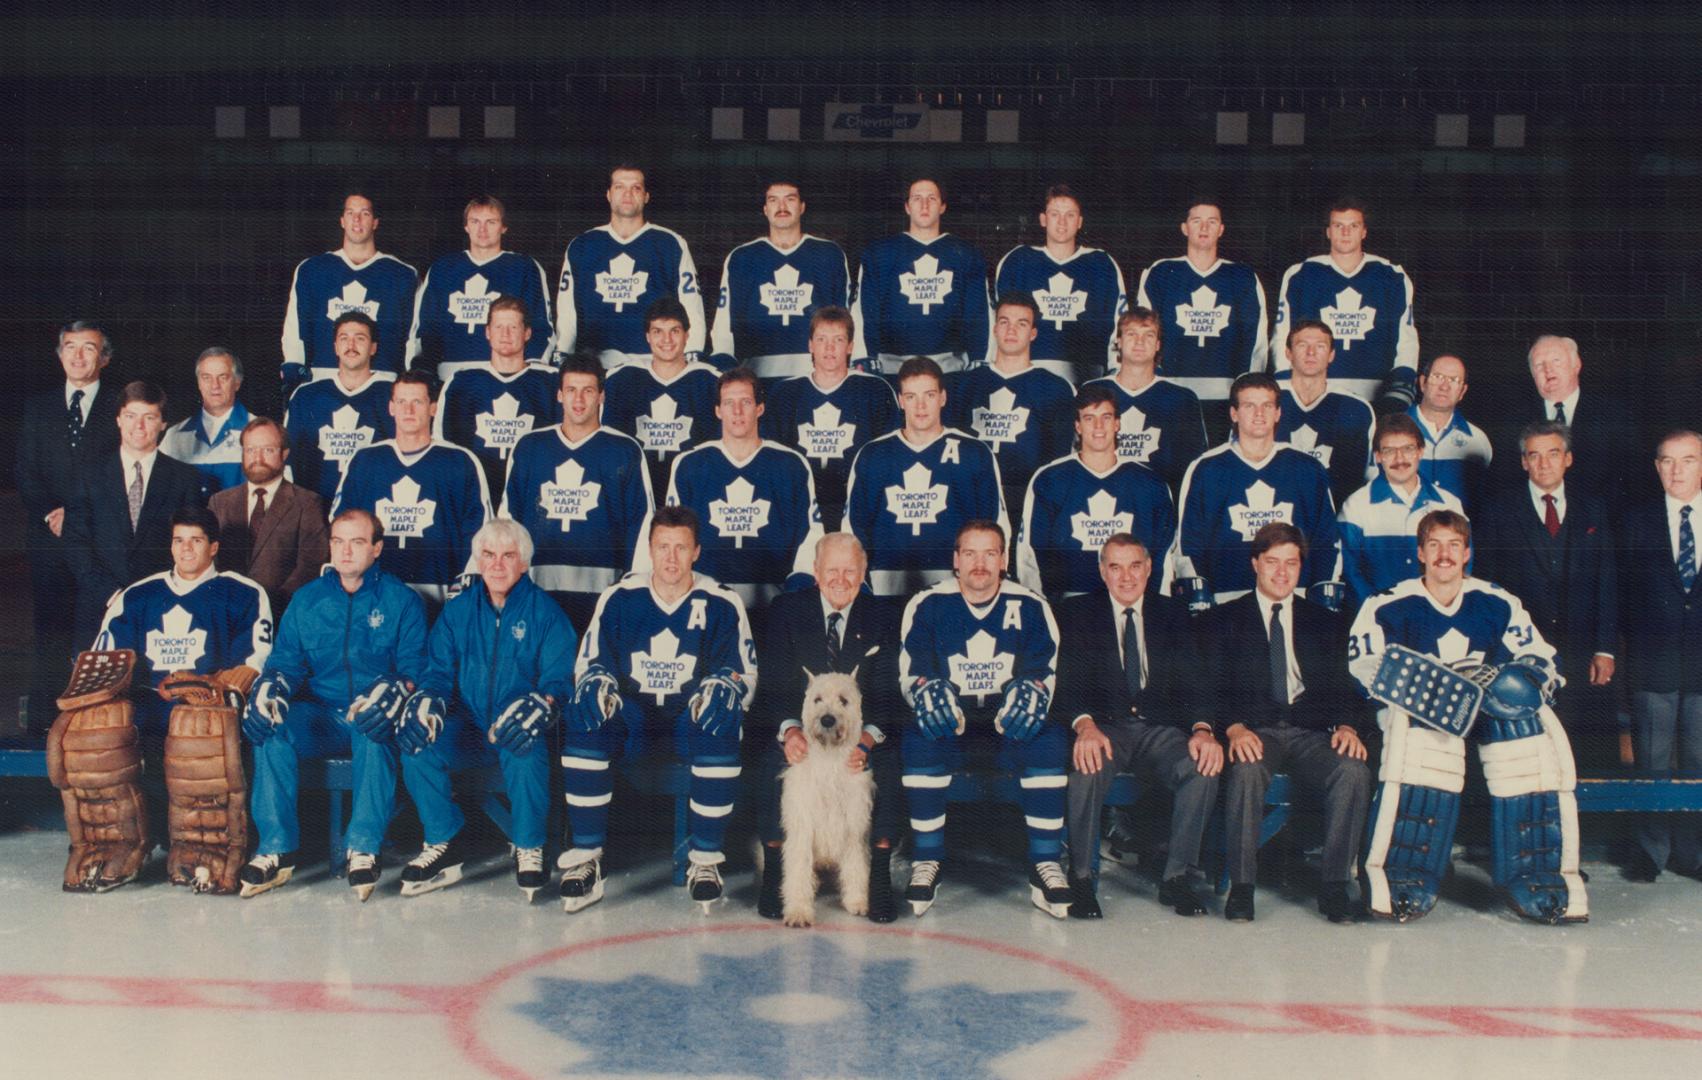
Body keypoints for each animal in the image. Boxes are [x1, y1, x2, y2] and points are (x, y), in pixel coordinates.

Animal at [779, 666, 871, 932]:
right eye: (817, 699)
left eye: (844, 700)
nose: (827, 720)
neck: (830, 758)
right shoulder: (802, 828)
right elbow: (798, 871)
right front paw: (798, 911)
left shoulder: (854, 828)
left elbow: (856, 866)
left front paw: (857, 901)